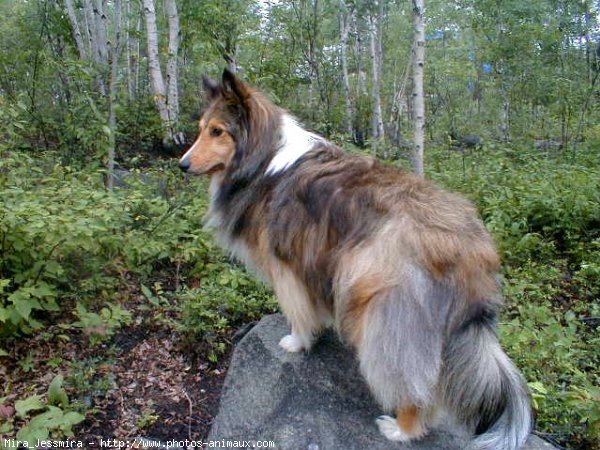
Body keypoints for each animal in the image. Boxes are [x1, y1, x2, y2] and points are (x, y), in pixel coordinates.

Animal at [180, 69, 532, 450]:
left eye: (218, 131)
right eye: (201, 128)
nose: (182, 164)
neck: (265, 159)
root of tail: (470, 245)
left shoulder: (287, 267)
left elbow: (298, 312)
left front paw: (297, 342)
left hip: (389, 317)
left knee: (409, 382)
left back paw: (401, 428)